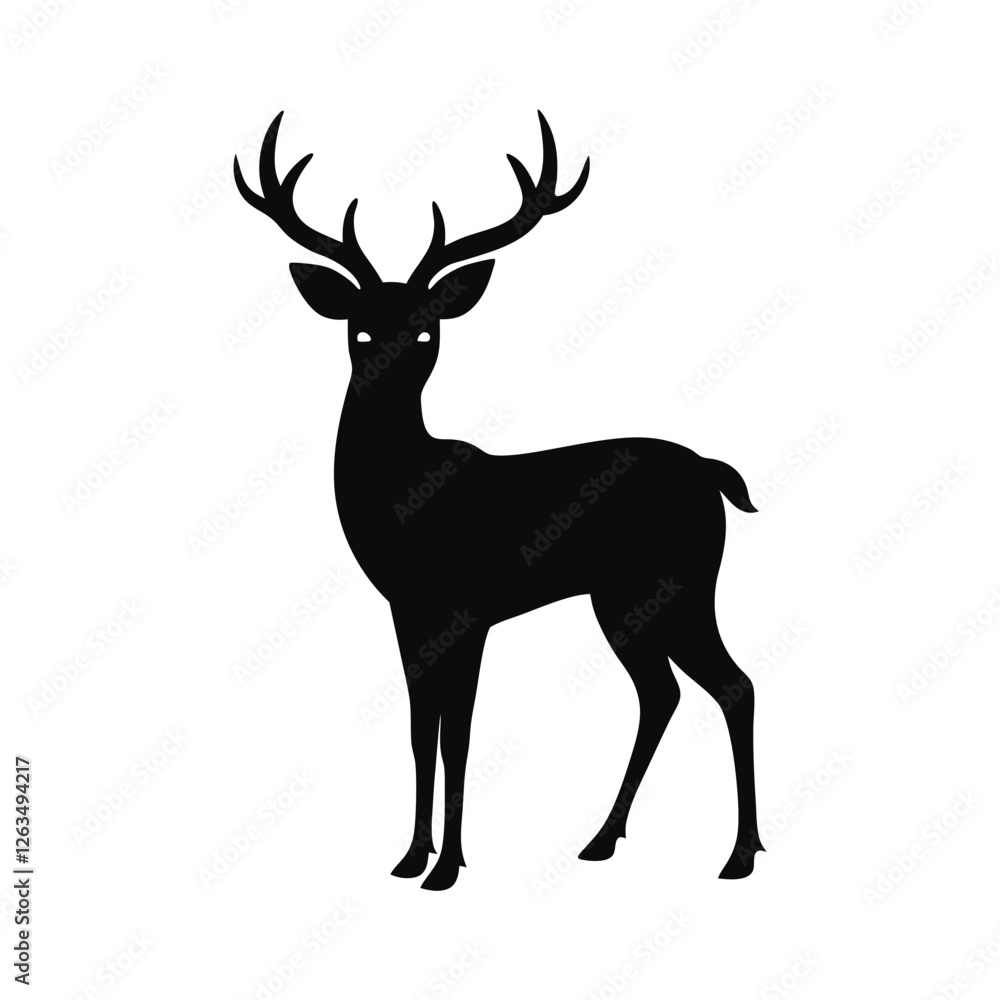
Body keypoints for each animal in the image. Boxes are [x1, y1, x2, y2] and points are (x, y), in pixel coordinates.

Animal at [234, 110, 764, 891]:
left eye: (427, 329)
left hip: (681, 582)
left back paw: (738, 854)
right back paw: (604, 839)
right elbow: (421, 730)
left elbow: (458, 732)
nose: (386, 368)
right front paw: (409, 857)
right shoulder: (409, 609)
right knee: (662, 693)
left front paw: (448, 867)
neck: (404, 499)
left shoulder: (467, 604)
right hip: (623, 598)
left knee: (733, 686)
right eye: (360, 327)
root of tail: (713, 472)